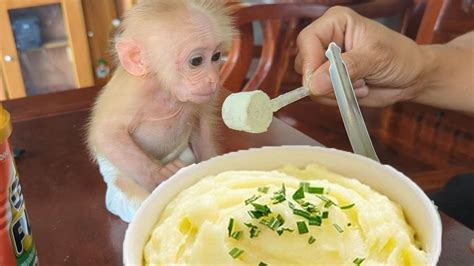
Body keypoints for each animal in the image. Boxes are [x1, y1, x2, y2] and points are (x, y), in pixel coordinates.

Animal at [87, 0, 235, 222]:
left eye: (216, 57)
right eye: (196, 61)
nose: (213, 80)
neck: (164, 89)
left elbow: (202, 125)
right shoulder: (131, 93)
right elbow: (107, 134)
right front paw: (158, 176)